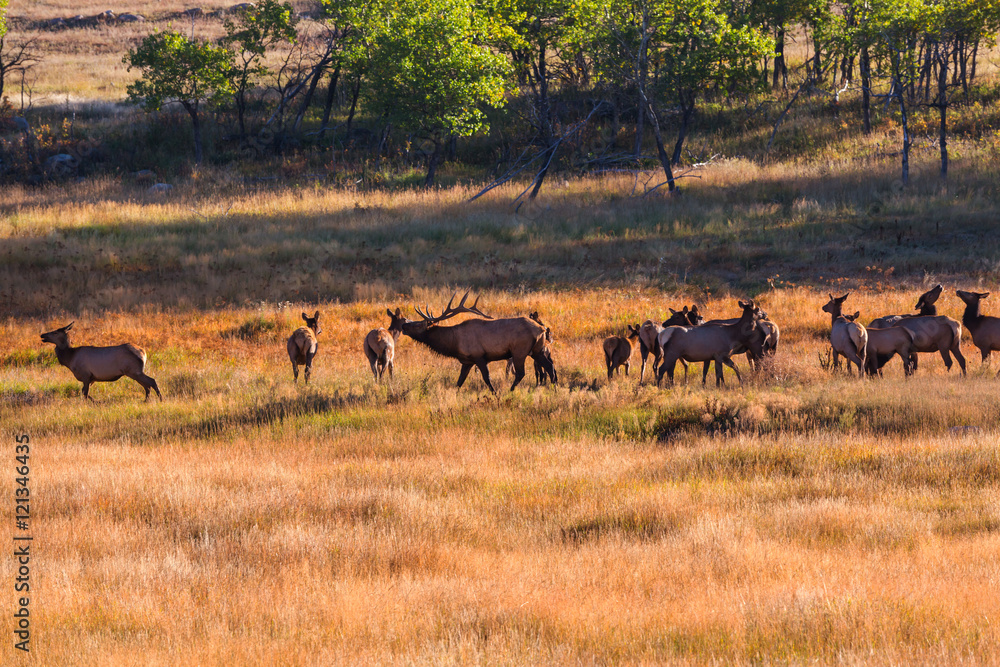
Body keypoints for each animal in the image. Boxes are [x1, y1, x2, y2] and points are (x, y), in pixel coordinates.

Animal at [387, 292, 548, 393]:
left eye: (418, 324)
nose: (404, 325)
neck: (454, 343)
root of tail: (542, 329)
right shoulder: (467, 361)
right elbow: (460, 381)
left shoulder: (479, 356)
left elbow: (487, 378)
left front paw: (495, 394)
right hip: (537, 350)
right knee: (549, 367)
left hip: (519, 351)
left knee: (521, 373)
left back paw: (511, 390)